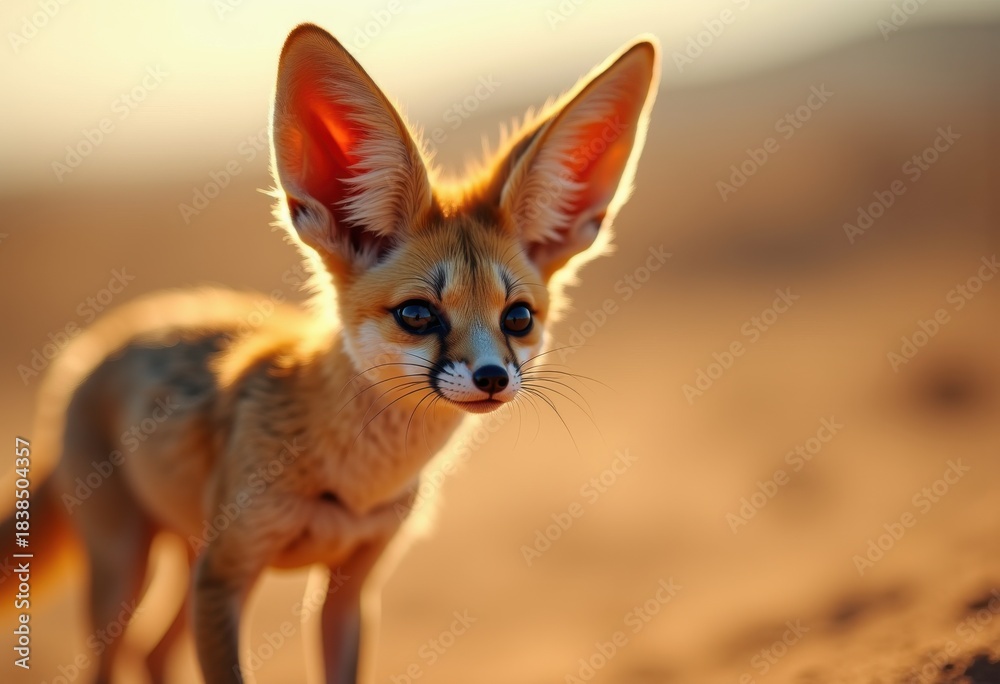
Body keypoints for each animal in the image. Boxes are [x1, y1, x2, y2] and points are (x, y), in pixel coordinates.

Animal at [2, 23, 659, 684]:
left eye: (517, 318)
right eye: (417, 315)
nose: (494, 377)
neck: (352, 480)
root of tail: (93, 346)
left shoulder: (351, 586)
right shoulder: (226, 573)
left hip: (183, 560)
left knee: (154, 651)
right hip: (126, 570)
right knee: (115, 656)